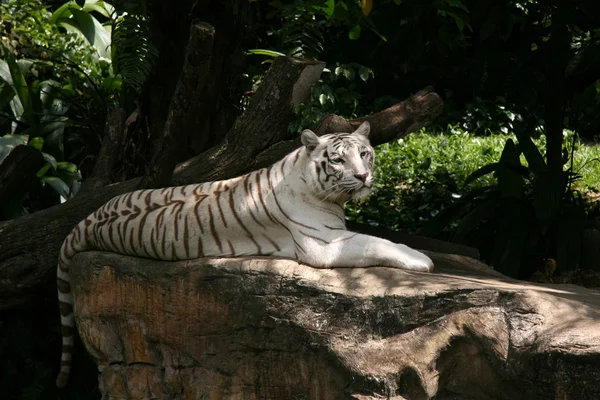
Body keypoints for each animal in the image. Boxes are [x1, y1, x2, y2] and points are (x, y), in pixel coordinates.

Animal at [55, 121, 432, 388]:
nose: (363, 175)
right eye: (338, 160)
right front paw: (421, 259)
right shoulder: (323, 242)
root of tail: (88, 218)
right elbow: (375, 242)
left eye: (364, 154)